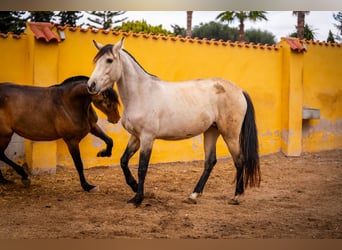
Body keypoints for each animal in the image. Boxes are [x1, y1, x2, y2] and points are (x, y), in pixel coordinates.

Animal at [87, 39, 260, 205]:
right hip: (212, 131)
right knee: (210, 162)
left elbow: (142, 168)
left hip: (230, 135)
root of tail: (239, 91)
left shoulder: (147, 138)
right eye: (96, 60)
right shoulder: (136, 137)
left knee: (239, 161)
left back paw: (236, 196)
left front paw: (138, 198)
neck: (142, 93)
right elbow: (123, 161)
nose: (91, 85)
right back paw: (193, 195)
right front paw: (134, 186)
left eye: (109, 60)